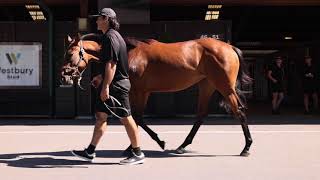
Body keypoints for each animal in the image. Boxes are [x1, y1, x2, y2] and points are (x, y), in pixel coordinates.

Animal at [60, 33, 252, 156]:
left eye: (69, 54)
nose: (64, 77)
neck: (129, 53)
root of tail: (229, 47)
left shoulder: (140, 91)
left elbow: (138, 118)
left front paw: (157, 142)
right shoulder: (140, 92)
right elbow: (136, 119)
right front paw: (132, 147)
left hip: (224, 86)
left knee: (239, 111)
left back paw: (246, 148)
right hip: (207, 86)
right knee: (201, 115)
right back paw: (182, 146)